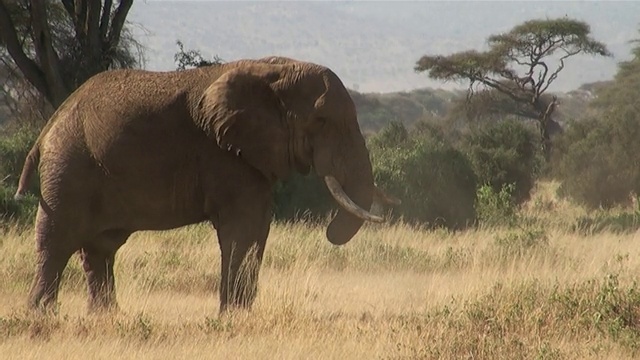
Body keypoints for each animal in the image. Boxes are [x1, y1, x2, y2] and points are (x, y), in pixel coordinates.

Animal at [12, 55, 398, 312]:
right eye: (321, 121)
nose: (330, 233)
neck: (275, 70)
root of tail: (48, 126)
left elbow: (255, 227)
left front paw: (235, 315)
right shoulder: (225, 154)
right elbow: (245, 225)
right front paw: (235, 317)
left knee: (99, 249)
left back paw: (105, 319)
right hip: (69, 167)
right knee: (57, 240)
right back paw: (41, 317)